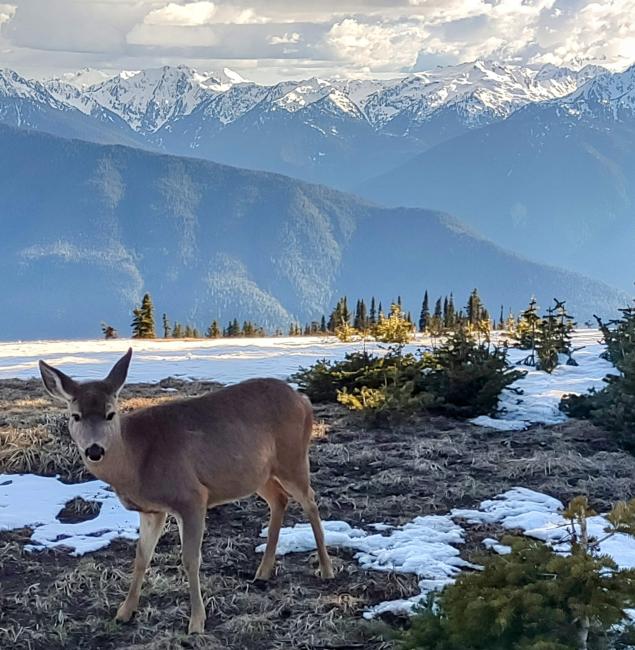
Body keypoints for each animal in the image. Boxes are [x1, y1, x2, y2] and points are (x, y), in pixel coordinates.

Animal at [38, 352, 332, 632]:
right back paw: (263, 572)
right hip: (256, 473)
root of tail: (303, 399)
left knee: (310, 501)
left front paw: (197, 622)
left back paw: (326, 569)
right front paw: (124, 612)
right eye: (75, 415)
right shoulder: (152, 510)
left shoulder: (191, 497)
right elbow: (141, 557)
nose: (95, 450)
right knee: (279, 499)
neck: (137, 461)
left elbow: (190, 560)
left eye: (110, 413)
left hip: (292, 456)